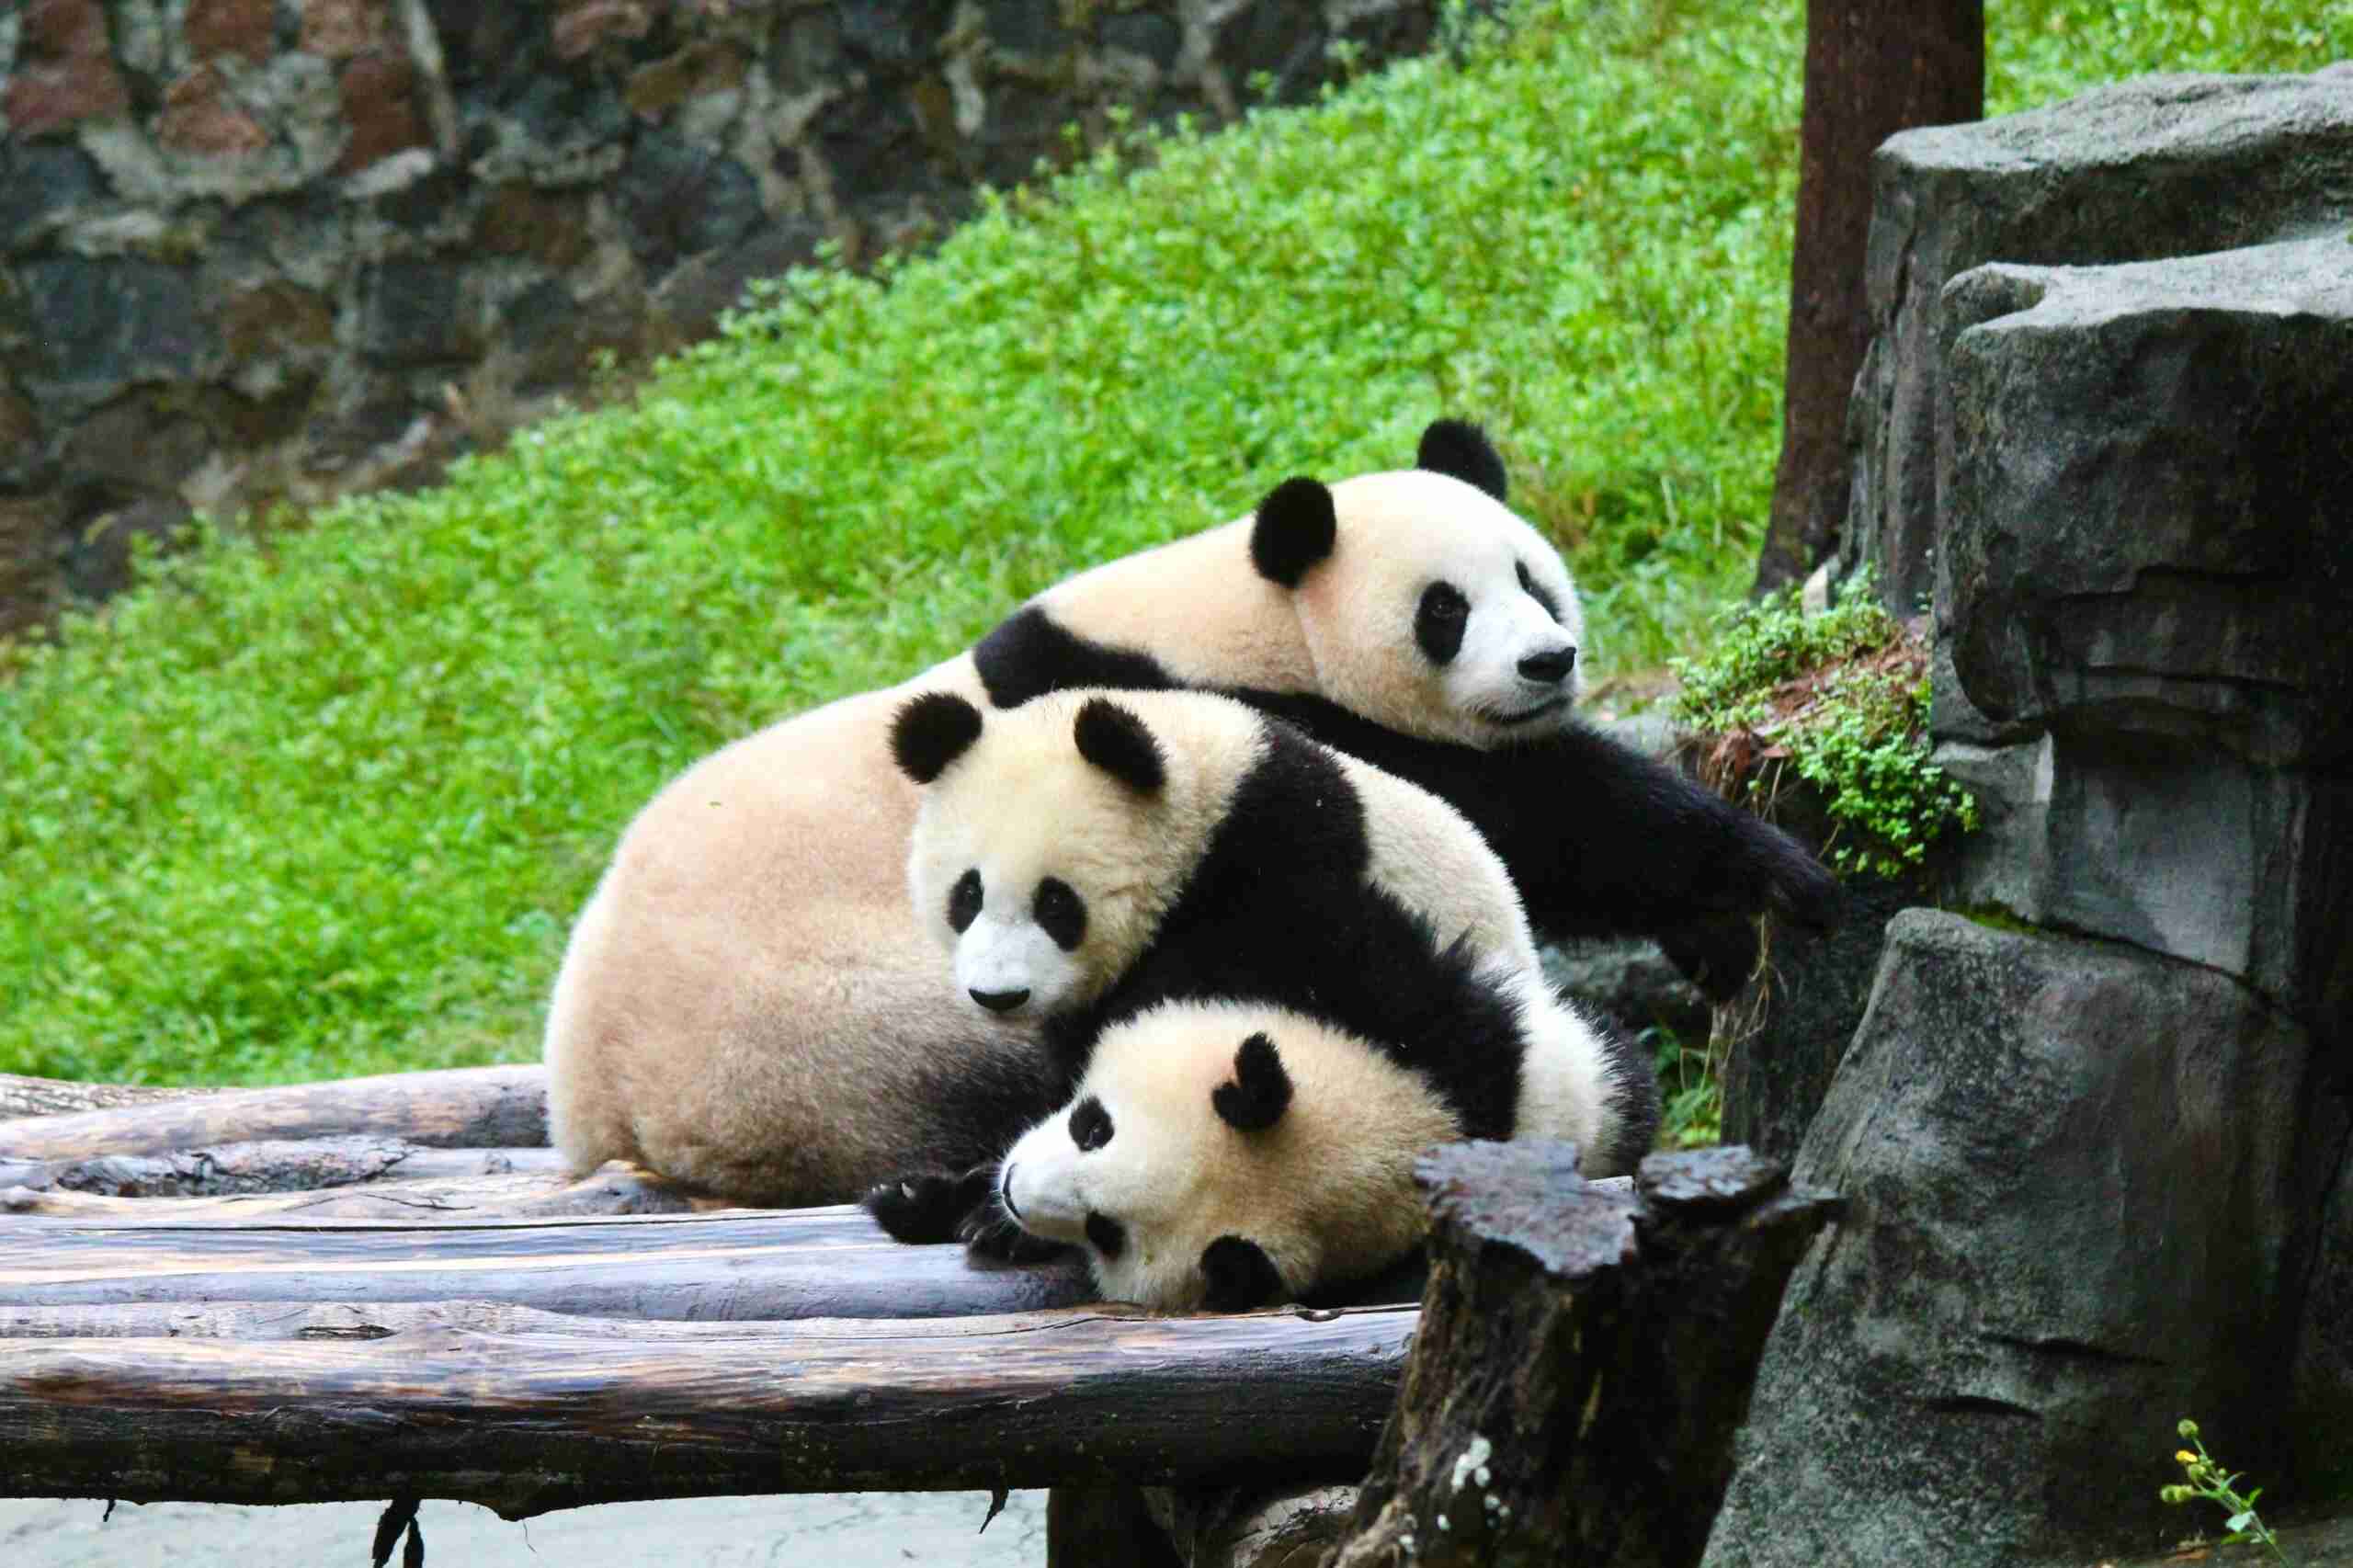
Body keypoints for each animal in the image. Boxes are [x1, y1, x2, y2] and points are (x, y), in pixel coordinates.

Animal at [862, 685, 1657, 1261]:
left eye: (1057, 903)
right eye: (965, 895)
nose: (998, 995)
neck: (1212, 791)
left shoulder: (1278, 860)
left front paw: (996, 1220)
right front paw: (956, 1198)